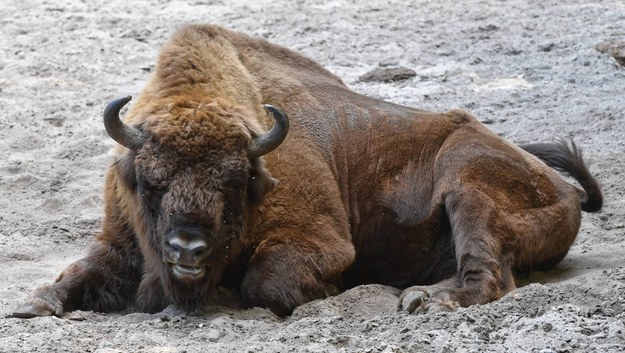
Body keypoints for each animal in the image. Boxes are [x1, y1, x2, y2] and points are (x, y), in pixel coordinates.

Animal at [14, 24, 600, 316]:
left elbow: (266, 284)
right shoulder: (119, 240)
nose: (188, 249)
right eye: (152, 182)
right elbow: (78, 273)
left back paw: (422, 299)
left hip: (468, 184)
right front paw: (35, 303)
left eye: (234, 183)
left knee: (488, 276)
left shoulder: (322, 240)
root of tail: (565, 191)